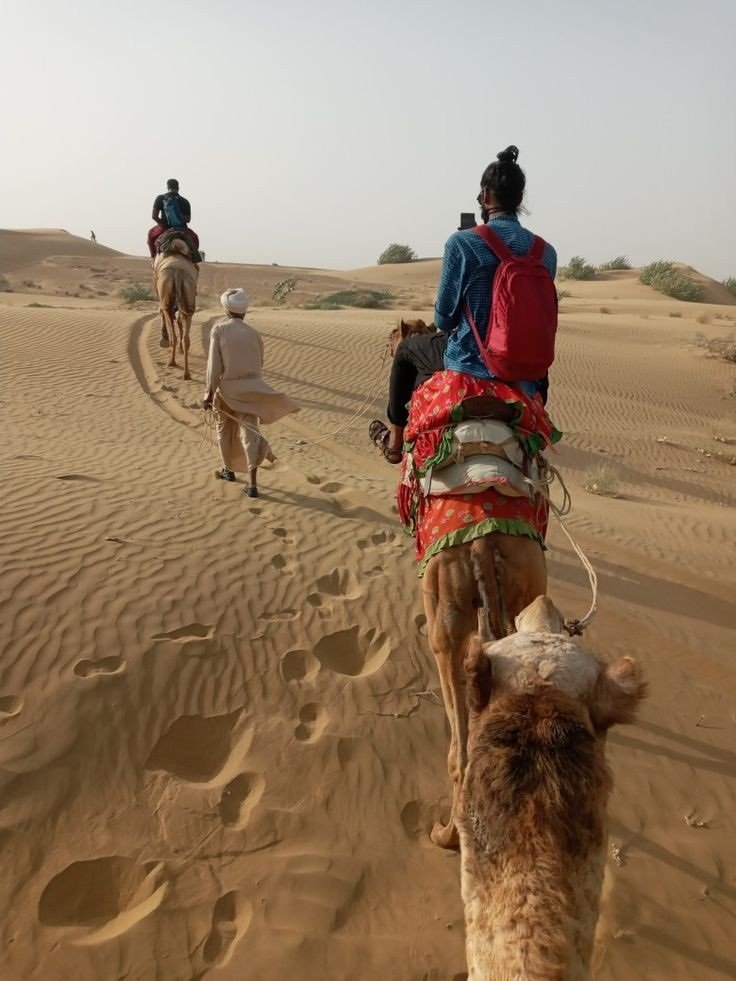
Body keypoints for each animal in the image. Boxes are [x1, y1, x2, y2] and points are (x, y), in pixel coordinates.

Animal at [154, 241, 198, 382]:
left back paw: (171, 362)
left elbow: (161, 312)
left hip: (165, 292)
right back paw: (186, 374)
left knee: (168, 317)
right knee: (185, 336)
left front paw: (164, 339)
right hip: (189, 296)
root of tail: (178, 272)